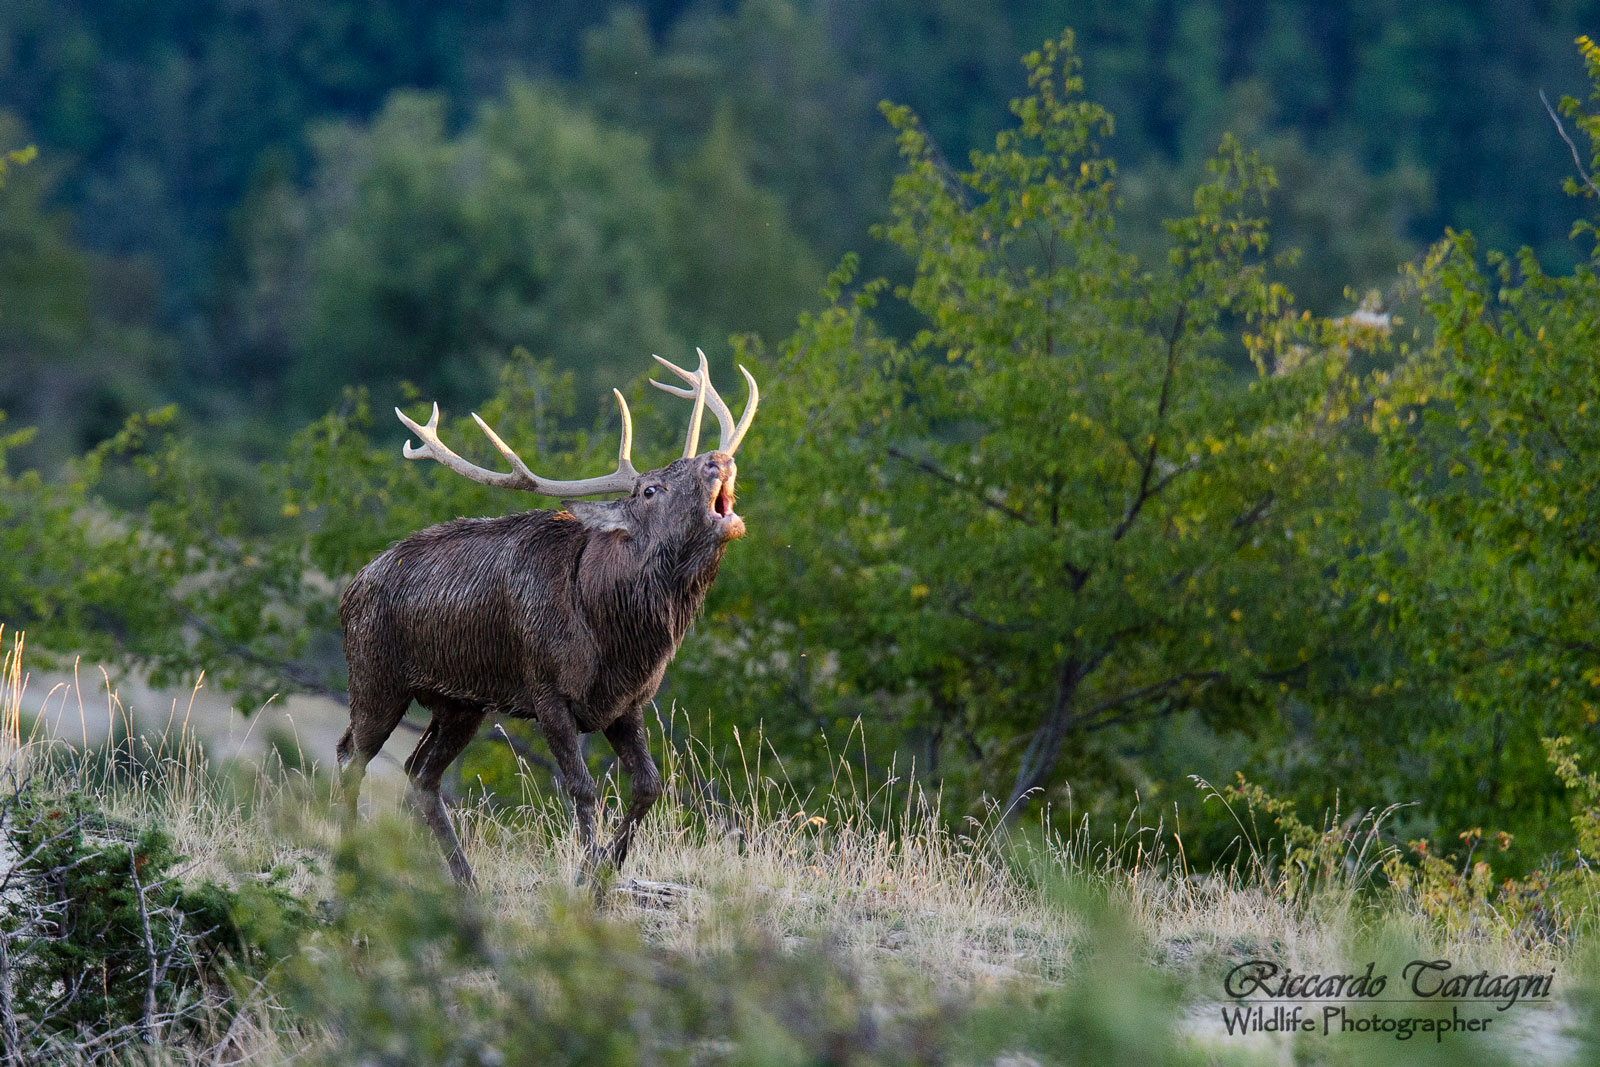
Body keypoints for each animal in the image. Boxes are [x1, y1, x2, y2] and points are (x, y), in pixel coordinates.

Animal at [336, 350, 756, 887]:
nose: (717, 460)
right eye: (649, 490)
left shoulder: (626, 702)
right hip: (375, 675)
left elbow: (649, 785)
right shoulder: (547, 692)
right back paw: (351, 865)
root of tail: (350, 590)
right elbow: (582, 788)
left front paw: (607, 872)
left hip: (459, 703)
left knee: (420, 771)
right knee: (353, 755)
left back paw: (466, 881)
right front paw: (584, 876)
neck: (618, 638)